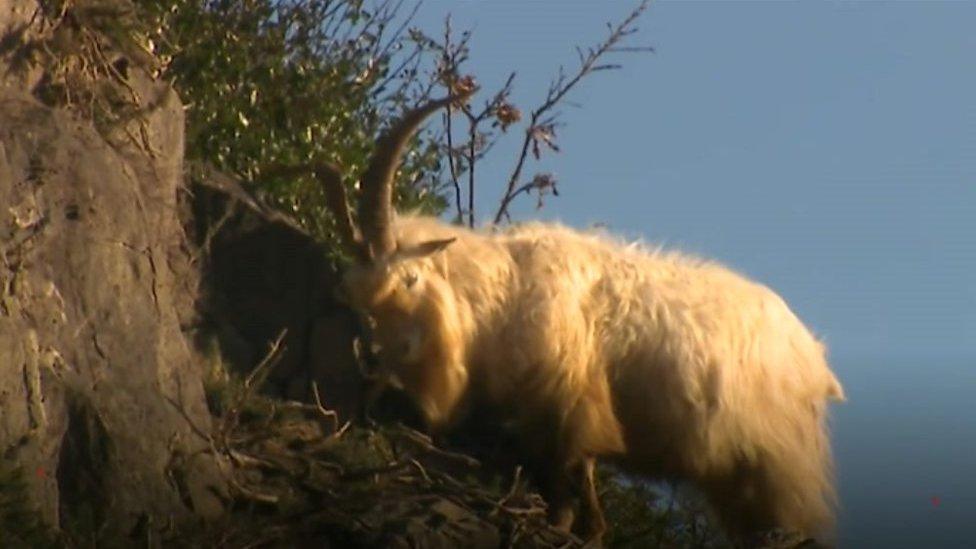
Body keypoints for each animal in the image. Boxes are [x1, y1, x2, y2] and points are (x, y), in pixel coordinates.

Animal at [314, 91, 848, 544]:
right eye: (354, 295)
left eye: (408, 280)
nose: (383, 367)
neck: (507, 293)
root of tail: (814, 358)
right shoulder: (539, 421)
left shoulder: (571, 406)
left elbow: (572, 488)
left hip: (781, 467)